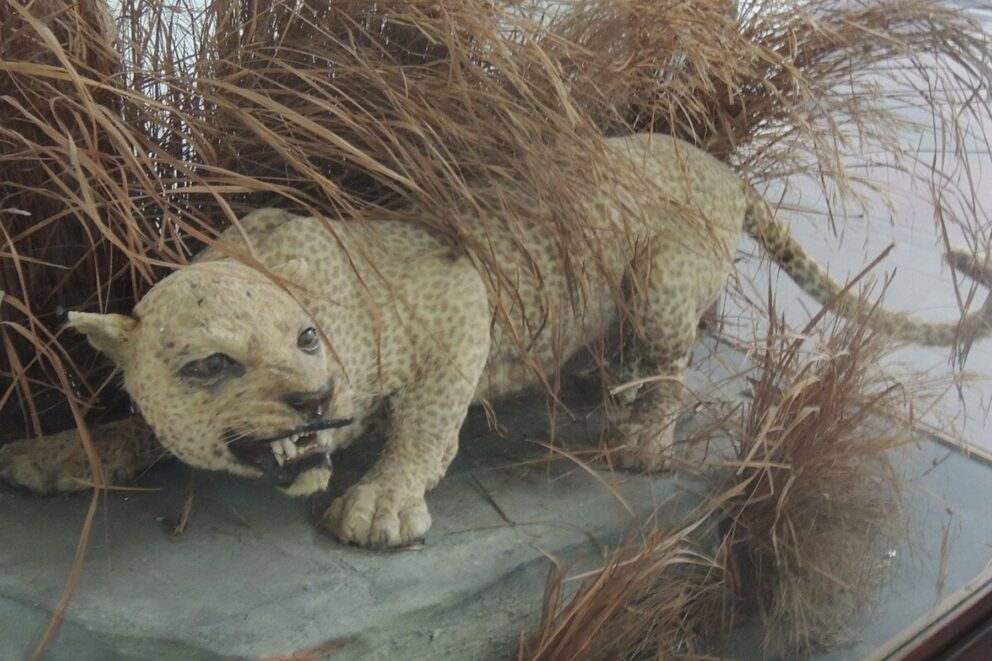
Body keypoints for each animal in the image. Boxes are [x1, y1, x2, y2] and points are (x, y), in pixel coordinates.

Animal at [2, 133, 989, 548]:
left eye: (308, 339)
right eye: (210, 363)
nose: (315, 398)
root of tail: (721, 165)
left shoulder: (457, 293)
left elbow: (427, 420)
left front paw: (382, 502)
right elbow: (137, 423)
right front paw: (57, 452)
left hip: (661, 280)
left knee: (672, 368)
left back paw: (640, 439)